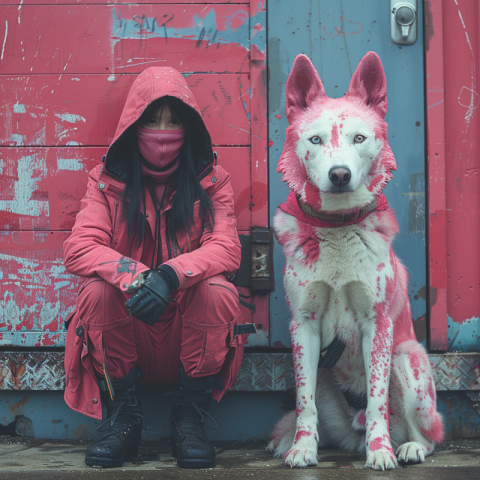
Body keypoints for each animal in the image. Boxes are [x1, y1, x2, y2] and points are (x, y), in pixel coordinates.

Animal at [268, 52, 444, 468]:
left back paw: (408, 447)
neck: (336, 227)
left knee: (428, 433)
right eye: (316, 139)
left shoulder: (376, 324)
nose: (339, 174)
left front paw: (380, 453)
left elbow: (378, 401)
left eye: (359, 139)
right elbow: (304, 403)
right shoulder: (304, 326)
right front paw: (302, 448)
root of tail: (353, 429)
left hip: (407, 358)